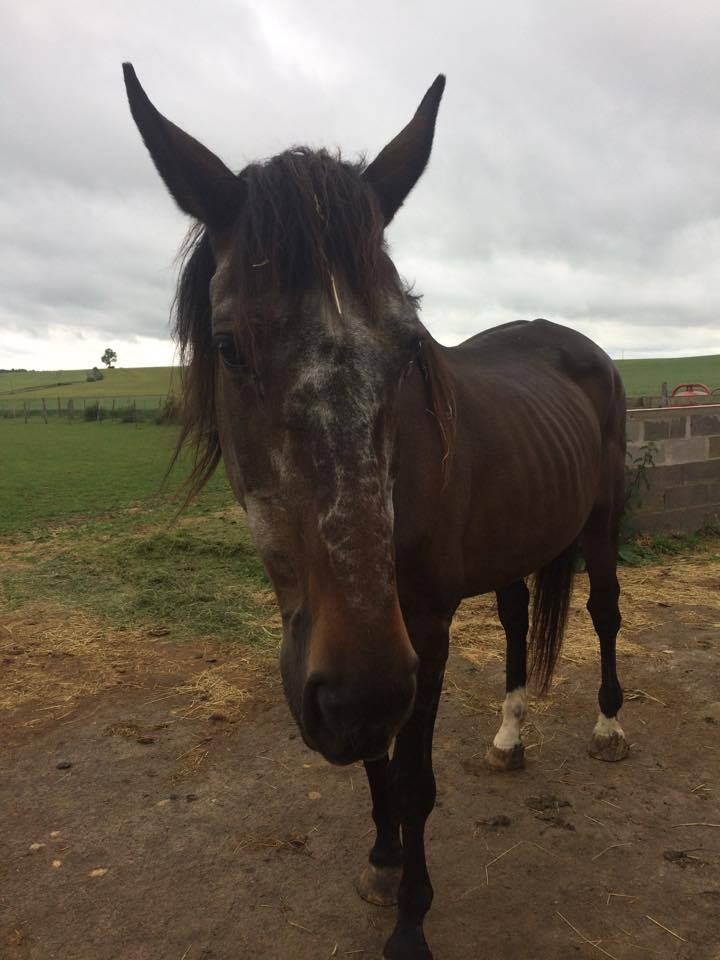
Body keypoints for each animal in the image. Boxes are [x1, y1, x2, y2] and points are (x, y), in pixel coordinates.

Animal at [125, 65, 632, 960]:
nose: (359, 694)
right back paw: (509, 737)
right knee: (514, 625)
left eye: (406, 346)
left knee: (604, 612)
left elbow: (415, 779)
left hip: (600, 524)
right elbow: (375, 764)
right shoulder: (354, 649)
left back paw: (607, 729)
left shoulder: (416, 632)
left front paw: (411, 922)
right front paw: (383, 860)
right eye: (227, 345)